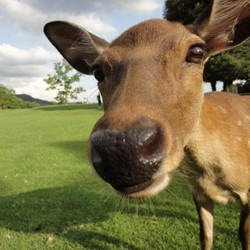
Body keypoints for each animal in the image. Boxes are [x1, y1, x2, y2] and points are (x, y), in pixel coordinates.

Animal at [43, 0, 250, 249]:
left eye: (197, 52)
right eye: (97, 71)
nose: (120, 149)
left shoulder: (248, 193)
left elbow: (243, 234)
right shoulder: (198, 192)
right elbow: (206, 236)